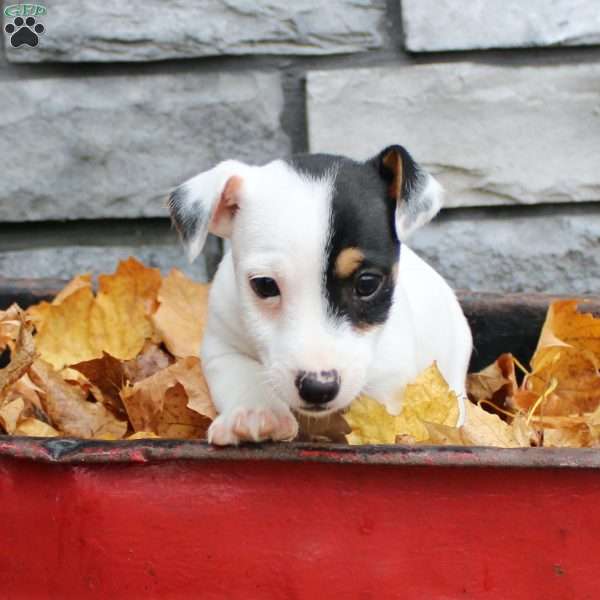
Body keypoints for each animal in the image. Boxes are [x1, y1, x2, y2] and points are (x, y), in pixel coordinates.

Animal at [169, 145, 474, 446]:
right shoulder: (222, 347)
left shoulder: (390, 381)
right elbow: (241, 377)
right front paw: (256, 414)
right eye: (264, 285)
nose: (318, 388)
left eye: (367, 284)